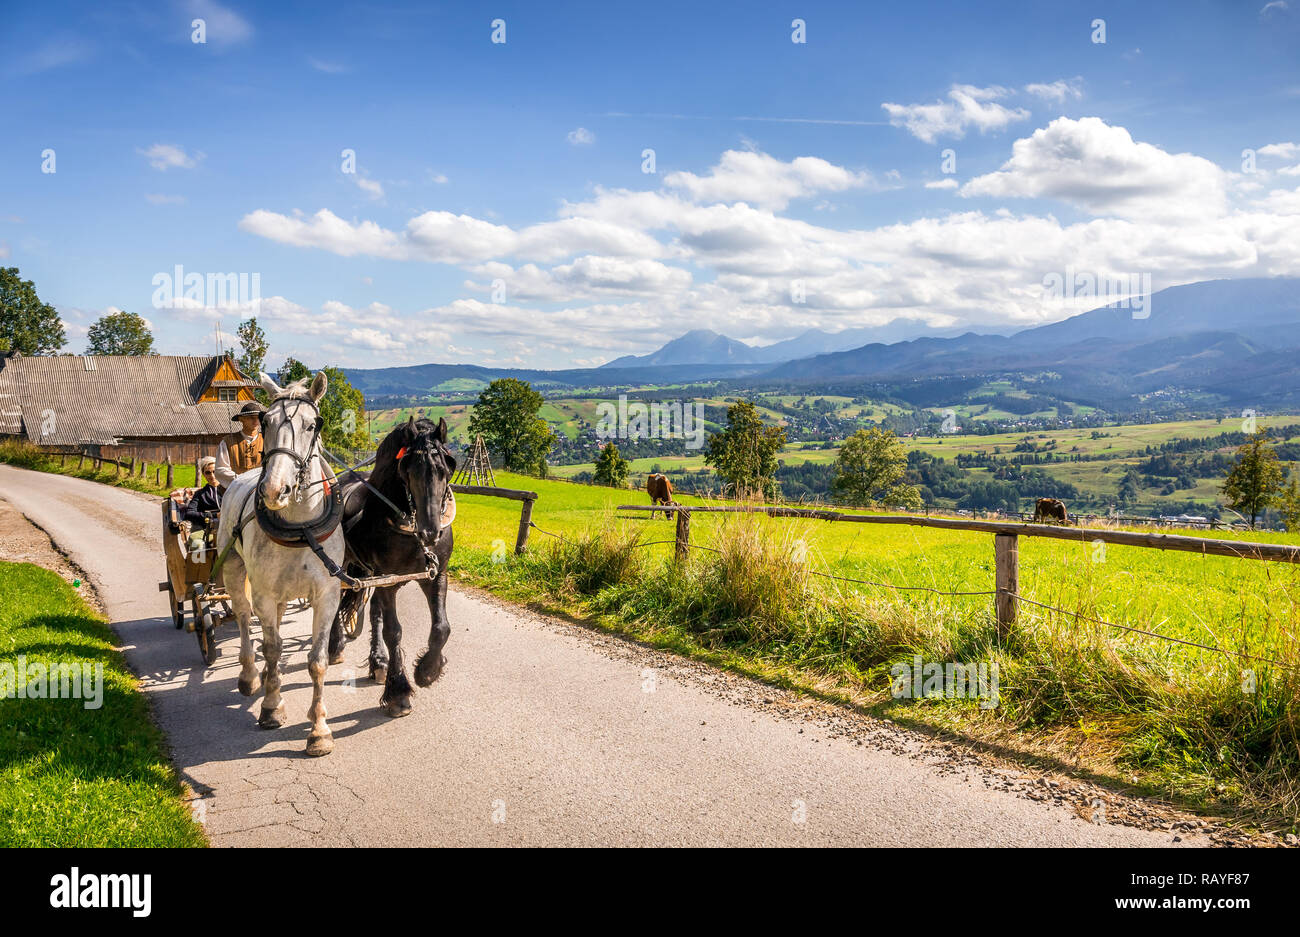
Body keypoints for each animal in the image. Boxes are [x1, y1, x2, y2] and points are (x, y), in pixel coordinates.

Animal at [215, 369, 345, 758]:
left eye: (311, 425)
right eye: (266, 422)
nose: (274, 490)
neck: (301, 528)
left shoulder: (327, 595)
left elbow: (316, 660)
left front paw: (319, 730)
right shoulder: (264, 594)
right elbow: (272, 649)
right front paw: (271, 707)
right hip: (234, 571)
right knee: (244, 618)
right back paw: (249, 676)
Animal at [327, 415, 454, 717]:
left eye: (445, 470)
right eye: (408, 472)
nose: (431, 532)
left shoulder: (435, 575)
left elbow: (441, 627)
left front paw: (427, 671)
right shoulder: (387, 579)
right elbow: (394, 631)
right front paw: (399, 693)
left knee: (374, 611)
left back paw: (379, 662)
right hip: (345, 567)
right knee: (339, 600)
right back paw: (336, 646)